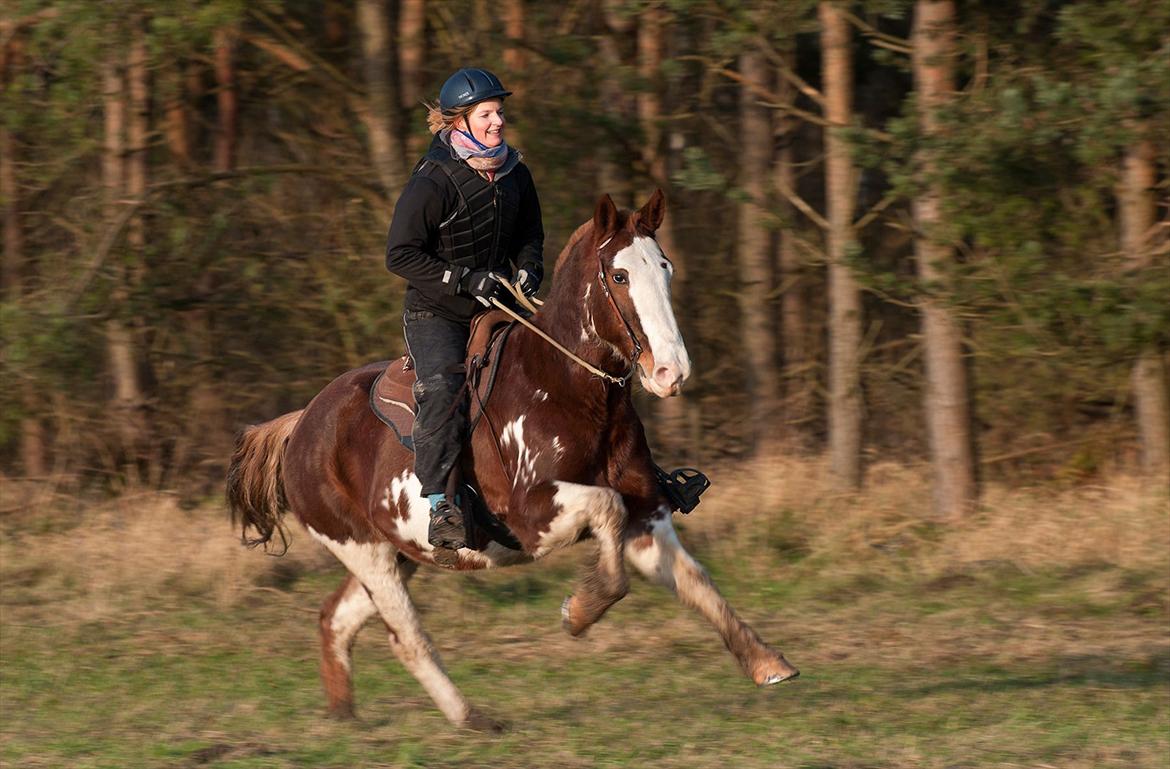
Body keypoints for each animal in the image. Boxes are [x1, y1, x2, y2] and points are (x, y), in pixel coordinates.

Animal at [223, 190, 800, 725]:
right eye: (618, 276)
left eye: (666, 269)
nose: (670, 372)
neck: (566, 389)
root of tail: (301, 423)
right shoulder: (534, 517)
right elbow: (606, 513)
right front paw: (579, 612)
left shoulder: (647, 517)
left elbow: (697, 582)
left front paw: (766, 663)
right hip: (365, 552)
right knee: (406, 638)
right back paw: (471, 718)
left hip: (396, 553)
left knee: (336, 619)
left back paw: (345, 716)